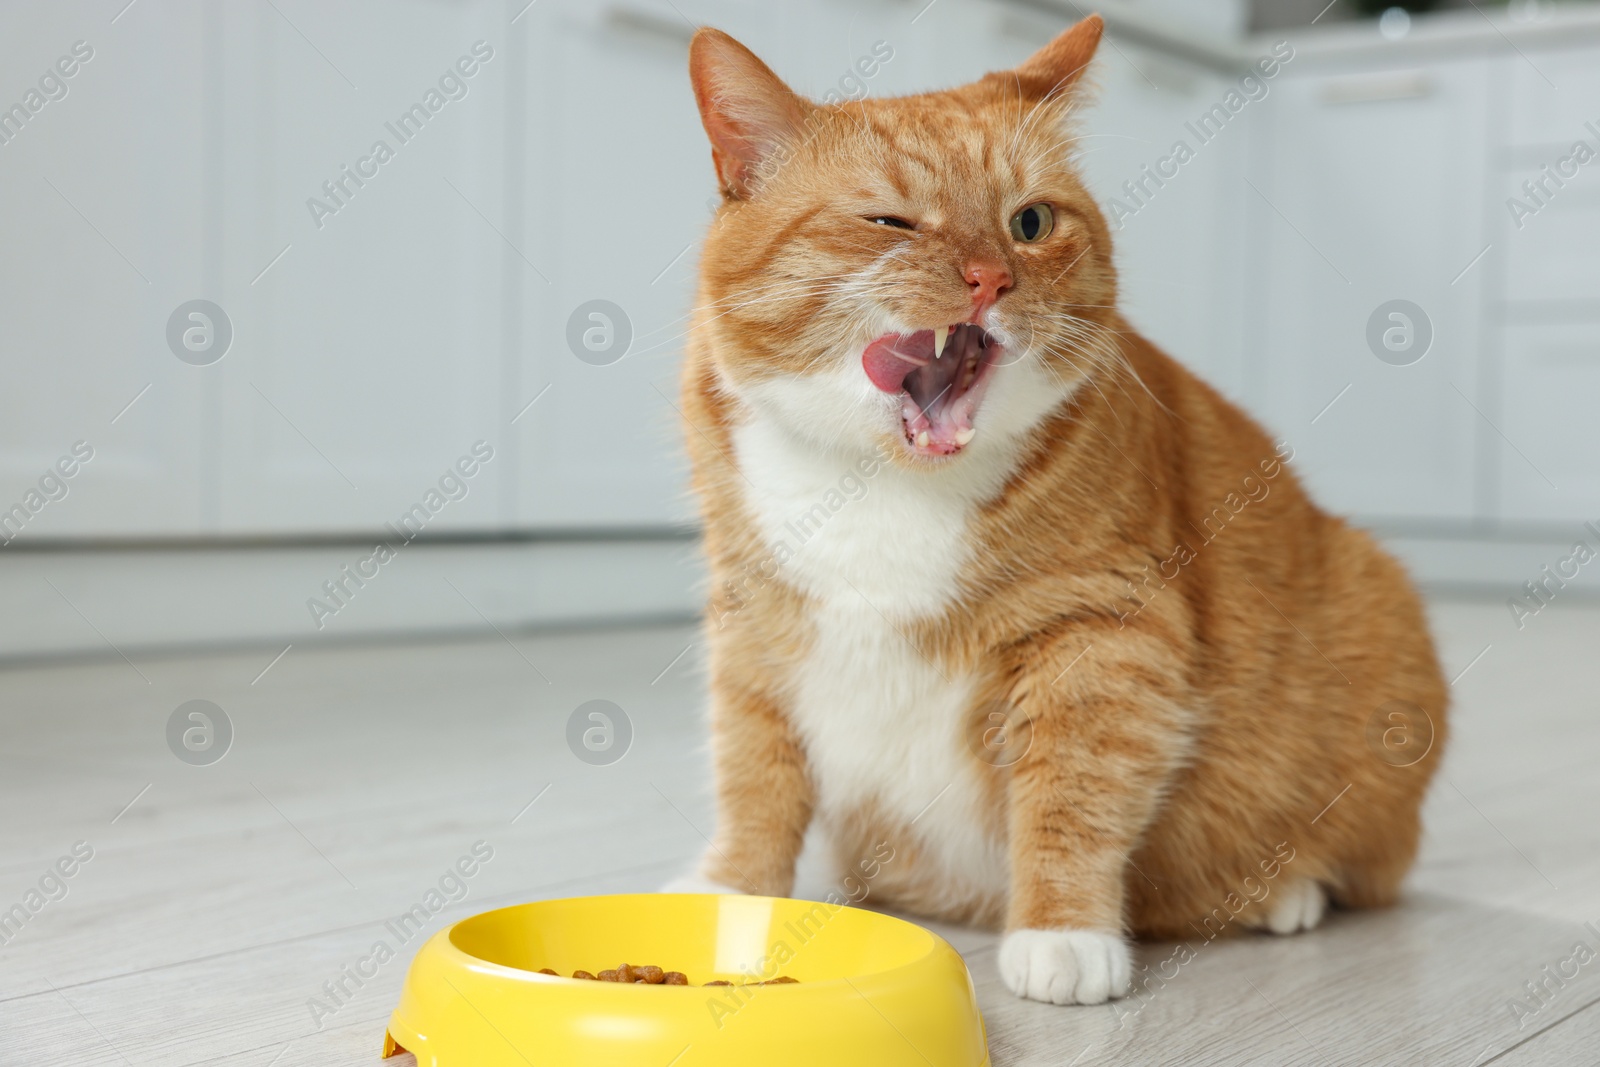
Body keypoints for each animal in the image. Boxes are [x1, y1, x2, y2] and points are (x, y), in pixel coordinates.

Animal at [668, 12, 1446, 1004]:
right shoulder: (751, 620)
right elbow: (755, 775)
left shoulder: (1102, 634)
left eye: (1029, 222)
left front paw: (1062, 932)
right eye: (889, 222)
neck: (883, 484)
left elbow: (1072, 791)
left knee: (1352, 865)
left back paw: (1285, 892)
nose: (988, 278)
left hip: (1377, 611)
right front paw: (730, 895)